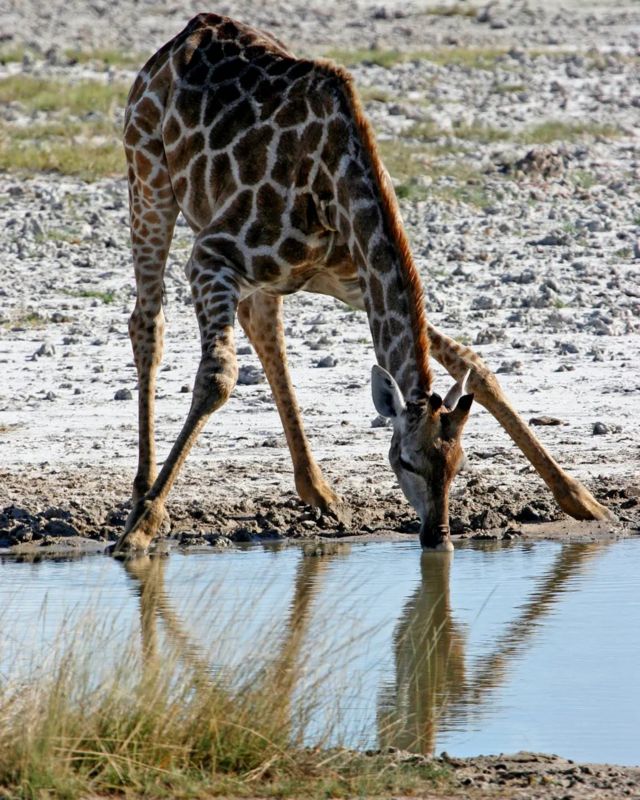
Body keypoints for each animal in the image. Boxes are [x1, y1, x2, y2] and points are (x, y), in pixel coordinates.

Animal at [114, 12, 608, 552]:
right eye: (405, 460)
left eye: (459, 464)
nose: (439, 536)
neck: (336, 190)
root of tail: (184, 34)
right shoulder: (211, 255)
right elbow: (217, 378)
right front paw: (142, 528)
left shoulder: (357, 280)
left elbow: (474, 363)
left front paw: (582, 499)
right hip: (148, 178)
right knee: (148, 323)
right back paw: (140, 494)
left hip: (277, 274)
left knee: (263, 326)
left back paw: (318, 489)